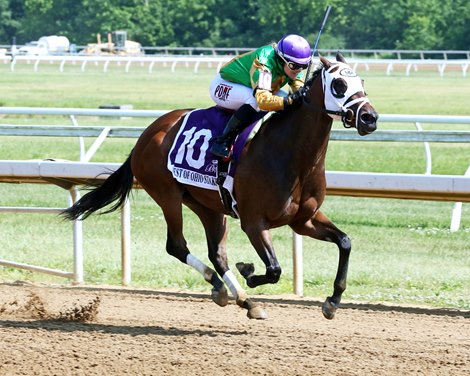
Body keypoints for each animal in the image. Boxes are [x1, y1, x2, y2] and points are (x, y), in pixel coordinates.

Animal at [62, 53, 378, 320]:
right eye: (338, 84)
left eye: (361, 82)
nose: (370, 118)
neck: (291, 155)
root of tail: (147, 134)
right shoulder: (253, 222)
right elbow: (274, 269)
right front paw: (249, 270)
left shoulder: (303, 220)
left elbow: (345, 242)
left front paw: (332, 301)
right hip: (167, 195)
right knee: (176, 245)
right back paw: (222, 286)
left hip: (207, 205)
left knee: (217, 254)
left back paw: (243, 299)